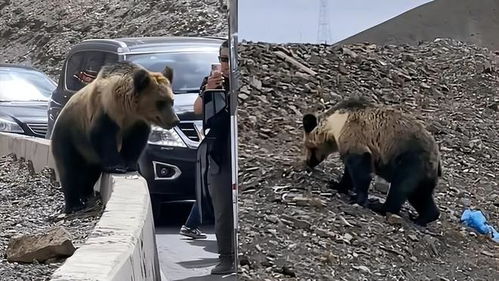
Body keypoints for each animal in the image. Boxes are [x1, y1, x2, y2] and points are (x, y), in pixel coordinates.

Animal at [50, 60, 180, 212]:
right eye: (160, 102)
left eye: (171, 100)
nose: (174, 120)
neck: (127, 108)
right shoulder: (106, 111)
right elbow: (104, 137)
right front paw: (117, 166)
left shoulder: (136, 122)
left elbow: (135, 141)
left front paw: (130, 165)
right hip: (70, 136)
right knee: (69, 169)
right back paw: (74, 204)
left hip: (88, 153)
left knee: (90, 173)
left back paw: (87, 194)